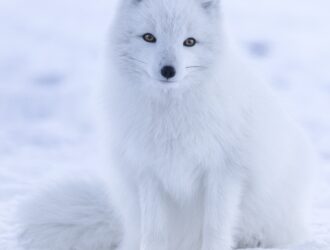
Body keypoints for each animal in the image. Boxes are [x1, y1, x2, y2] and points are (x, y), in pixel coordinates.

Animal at [10, 0, 314, 250]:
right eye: (149, 37)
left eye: (189, 42)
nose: (168, 71)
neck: (171, 117)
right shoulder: (148, 173)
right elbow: (155, 232)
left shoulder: (223, 171)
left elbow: (215, 229)